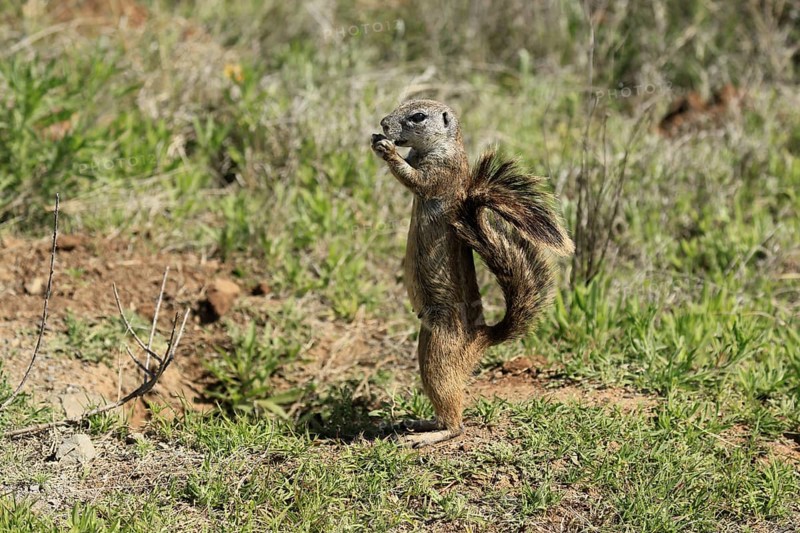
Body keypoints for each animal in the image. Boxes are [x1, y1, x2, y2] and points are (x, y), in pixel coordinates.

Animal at [371, 99, 574, 447]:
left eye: (417, 116)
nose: (383, 123)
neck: (441, 147)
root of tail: (481, 338)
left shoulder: (442, 172)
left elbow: (415, 180)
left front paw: (387, 150)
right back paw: (420, 423)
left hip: (439, 353)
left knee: (455, 421)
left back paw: (432, 435)